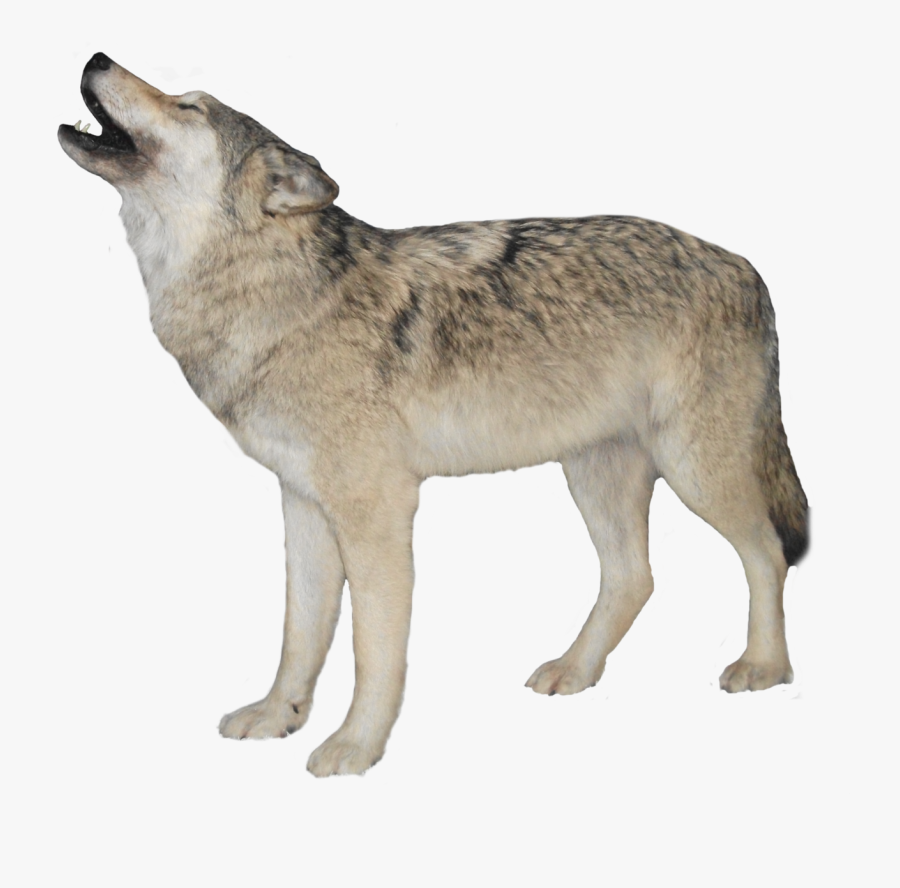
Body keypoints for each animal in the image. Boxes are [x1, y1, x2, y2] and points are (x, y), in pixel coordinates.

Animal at [59, 53, 808, 776]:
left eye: (189, 105)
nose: (96, 56)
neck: (277, 297)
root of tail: (745, 267)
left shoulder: (377, 511)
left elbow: (372, 648)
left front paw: (356, 747)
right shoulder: (303, 502)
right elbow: (300, 633)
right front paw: (278, 716)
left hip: (695, 472)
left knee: (767, 552)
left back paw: (764, 667)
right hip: (594, 475)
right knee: (634, 576)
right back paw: (575, 670)